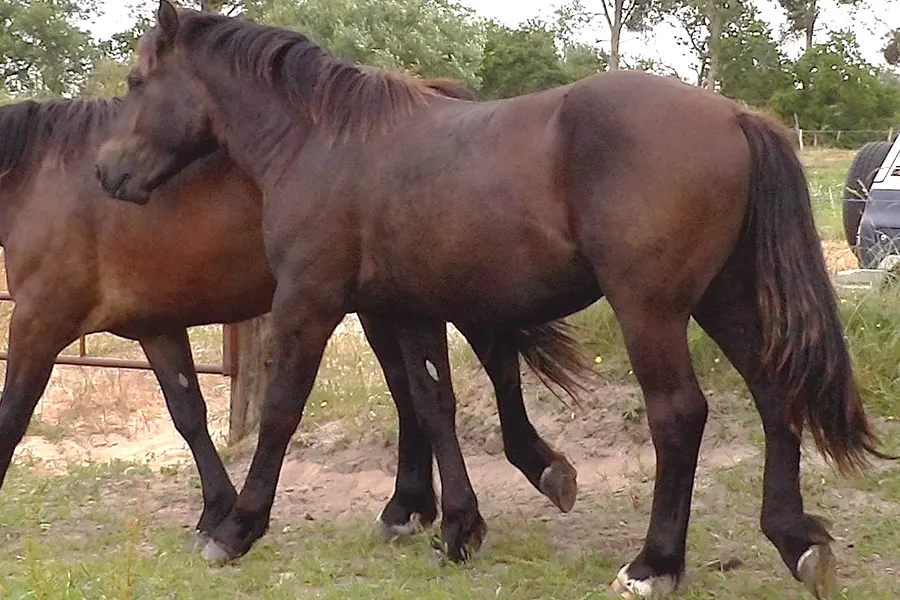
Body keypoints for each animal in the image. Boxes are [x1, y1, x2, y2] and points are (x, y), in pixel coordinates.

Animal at [0, 90, 592, 552]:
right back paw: (410, 507)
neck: (37, 179)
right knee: (412, 391)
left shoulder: (37, 324)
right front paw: (218, 511)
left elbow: (11, 417)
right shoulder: (155, 327)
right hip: (383, 305)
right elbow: (188, 414)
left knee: (486, 364)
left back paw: (532, 472)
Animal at [93, 3, 892, 596]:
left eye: (134, 81)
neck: (325, 143)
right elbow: (431, 403)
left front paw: (237, 529)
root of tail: (735, 117)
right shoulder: (408, 307)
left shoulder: (308, 303)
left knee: (678, 415)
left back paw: (654, 564)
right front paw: (456, 527)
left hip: (652, 308)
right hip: (721, 299)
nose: (107, 173)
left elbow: (284, 412)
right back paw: (795, 541)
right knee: (772, 390)